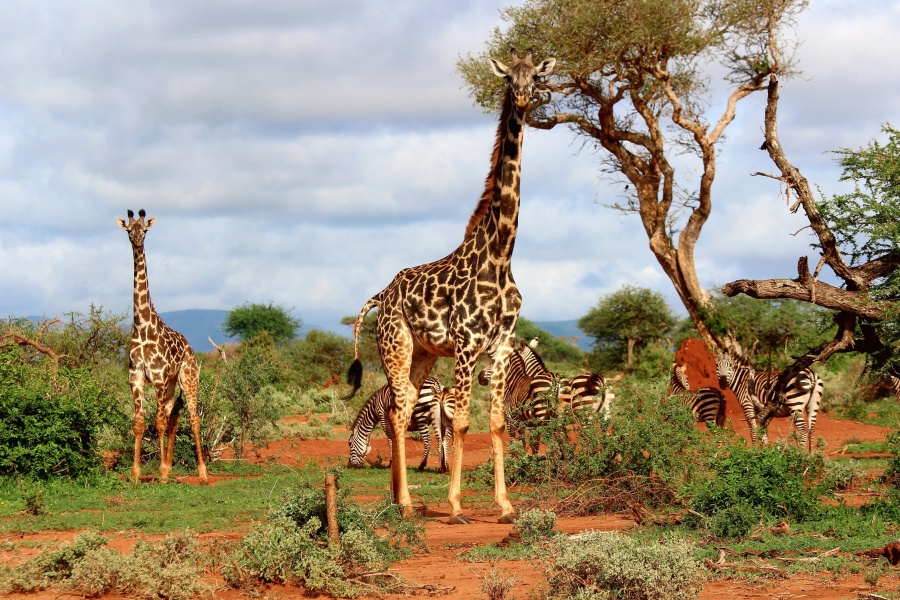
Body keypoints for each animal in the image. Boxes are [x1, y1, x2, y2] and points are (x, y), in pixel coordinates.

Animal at [117, 209, 208, 485]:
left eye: (144, 230)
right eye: (129, 230)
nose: (137, 241)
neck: (142, 326)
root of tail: (189, 347)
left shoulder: (157, 378)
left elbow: (157, 423)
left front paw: (162, 472)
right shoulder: (136, 378)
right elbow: (139, 422)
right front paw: (136, 473)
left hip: (188, 379)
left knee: (193, 418)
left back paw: (202, 472)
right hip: (170, 385)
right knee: (173, 418)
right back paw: (169, 464)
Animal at [343, 49, 555, 524]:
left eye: (536, 76)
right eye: (508, 77)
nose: (523, 97)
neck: (501, 256)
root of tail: (381, 296)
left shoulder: (500, 345)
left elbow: (496, 422)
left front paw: (505, 506)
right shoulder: (466, 343)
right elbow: (459, 422)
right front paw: (456, 505)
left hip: (423, 353)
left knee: (400, 409)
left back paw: (398, 499)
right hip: (396, 347)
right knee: (397, 411)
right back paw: (404, 502)